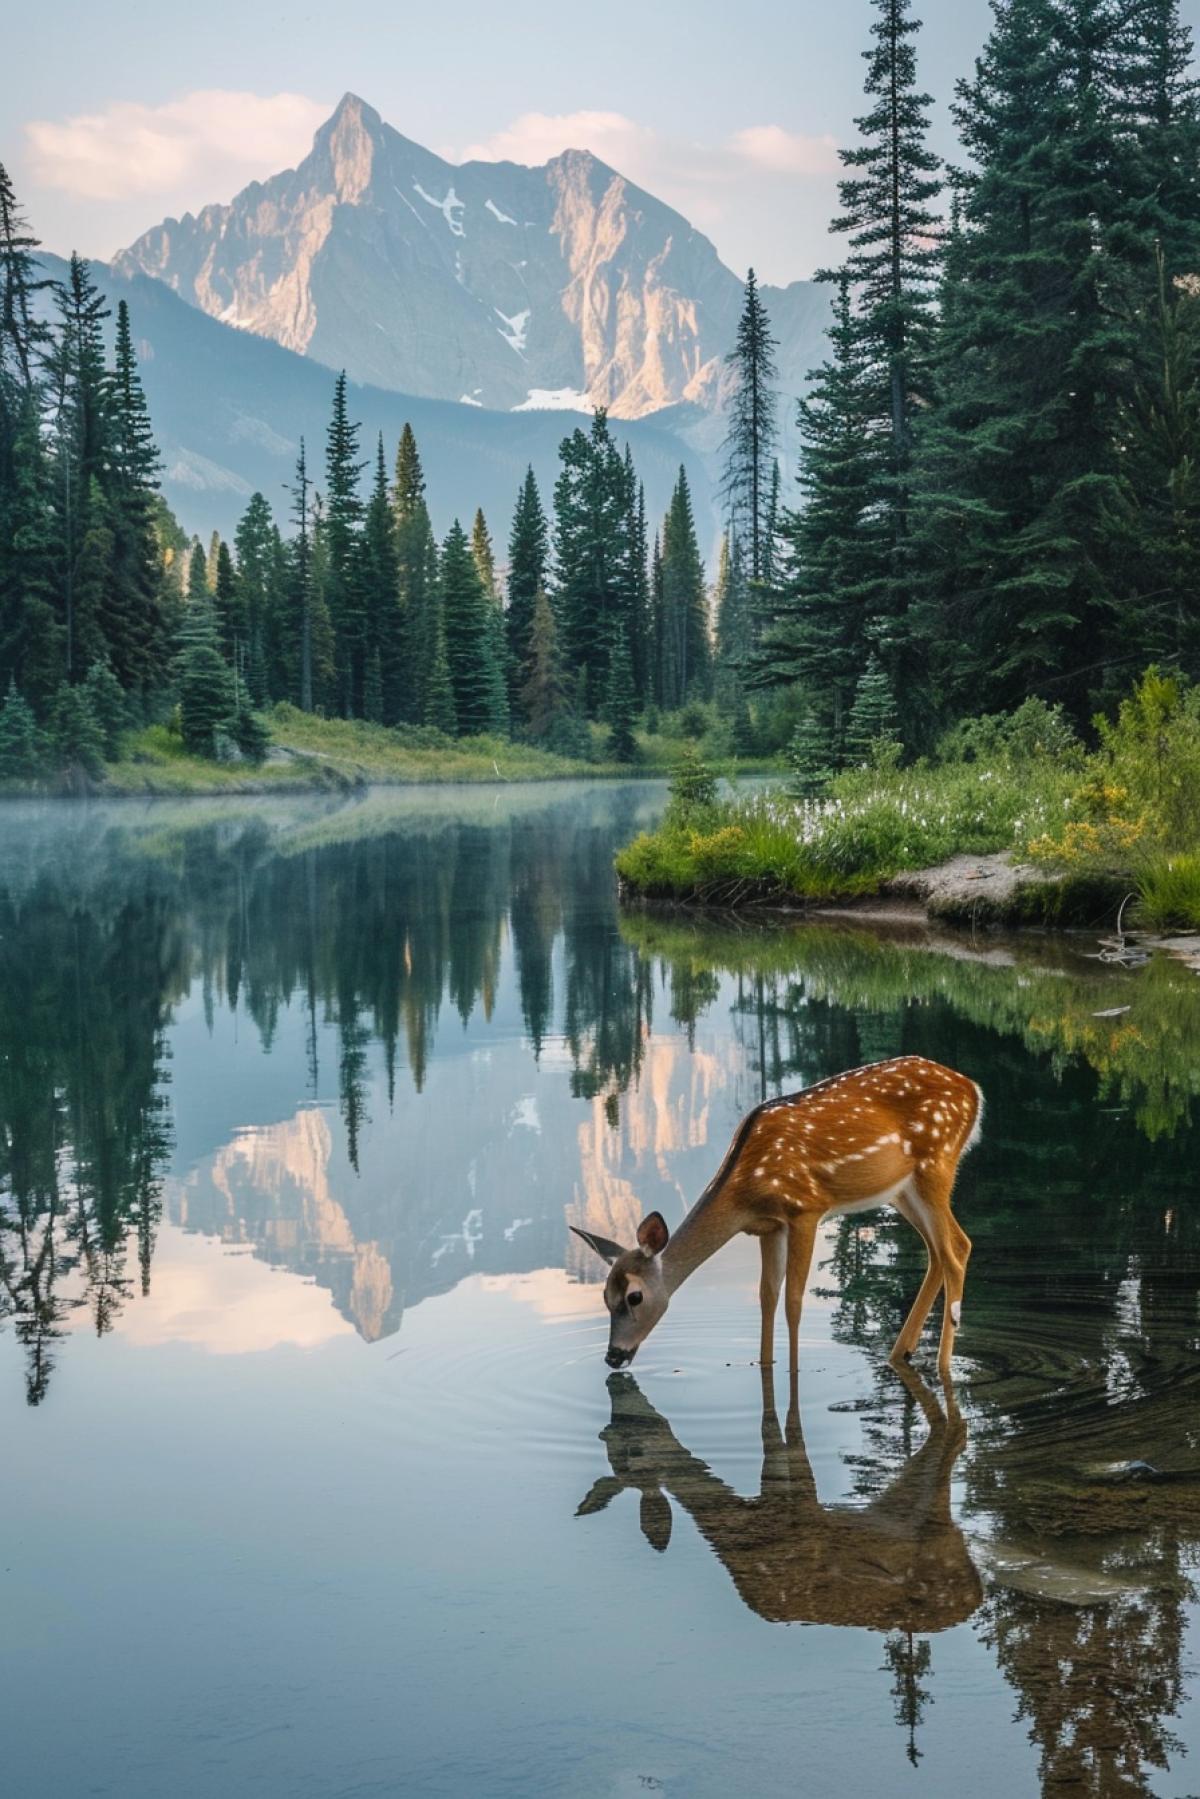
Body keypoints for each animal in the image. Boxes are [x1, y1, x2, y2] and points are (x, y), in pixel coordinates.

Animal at [571, 1055, 982, 1379]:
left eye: (635, 1297)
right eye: (604, 1296)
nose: (613, 1356)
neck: (746, 1190)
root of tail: (973, 1089)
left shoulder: (805, 1209)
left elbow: (793, 1302)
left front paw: (794, 1371)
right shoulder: (768, 1227)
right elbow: (767, 1296)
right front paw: (764, 1363)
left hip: (936, 1164)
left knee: (956, 1249)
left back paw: (944, 1367)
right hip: (902, 1191)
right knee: (938, 1251)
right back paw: (901, 1354)